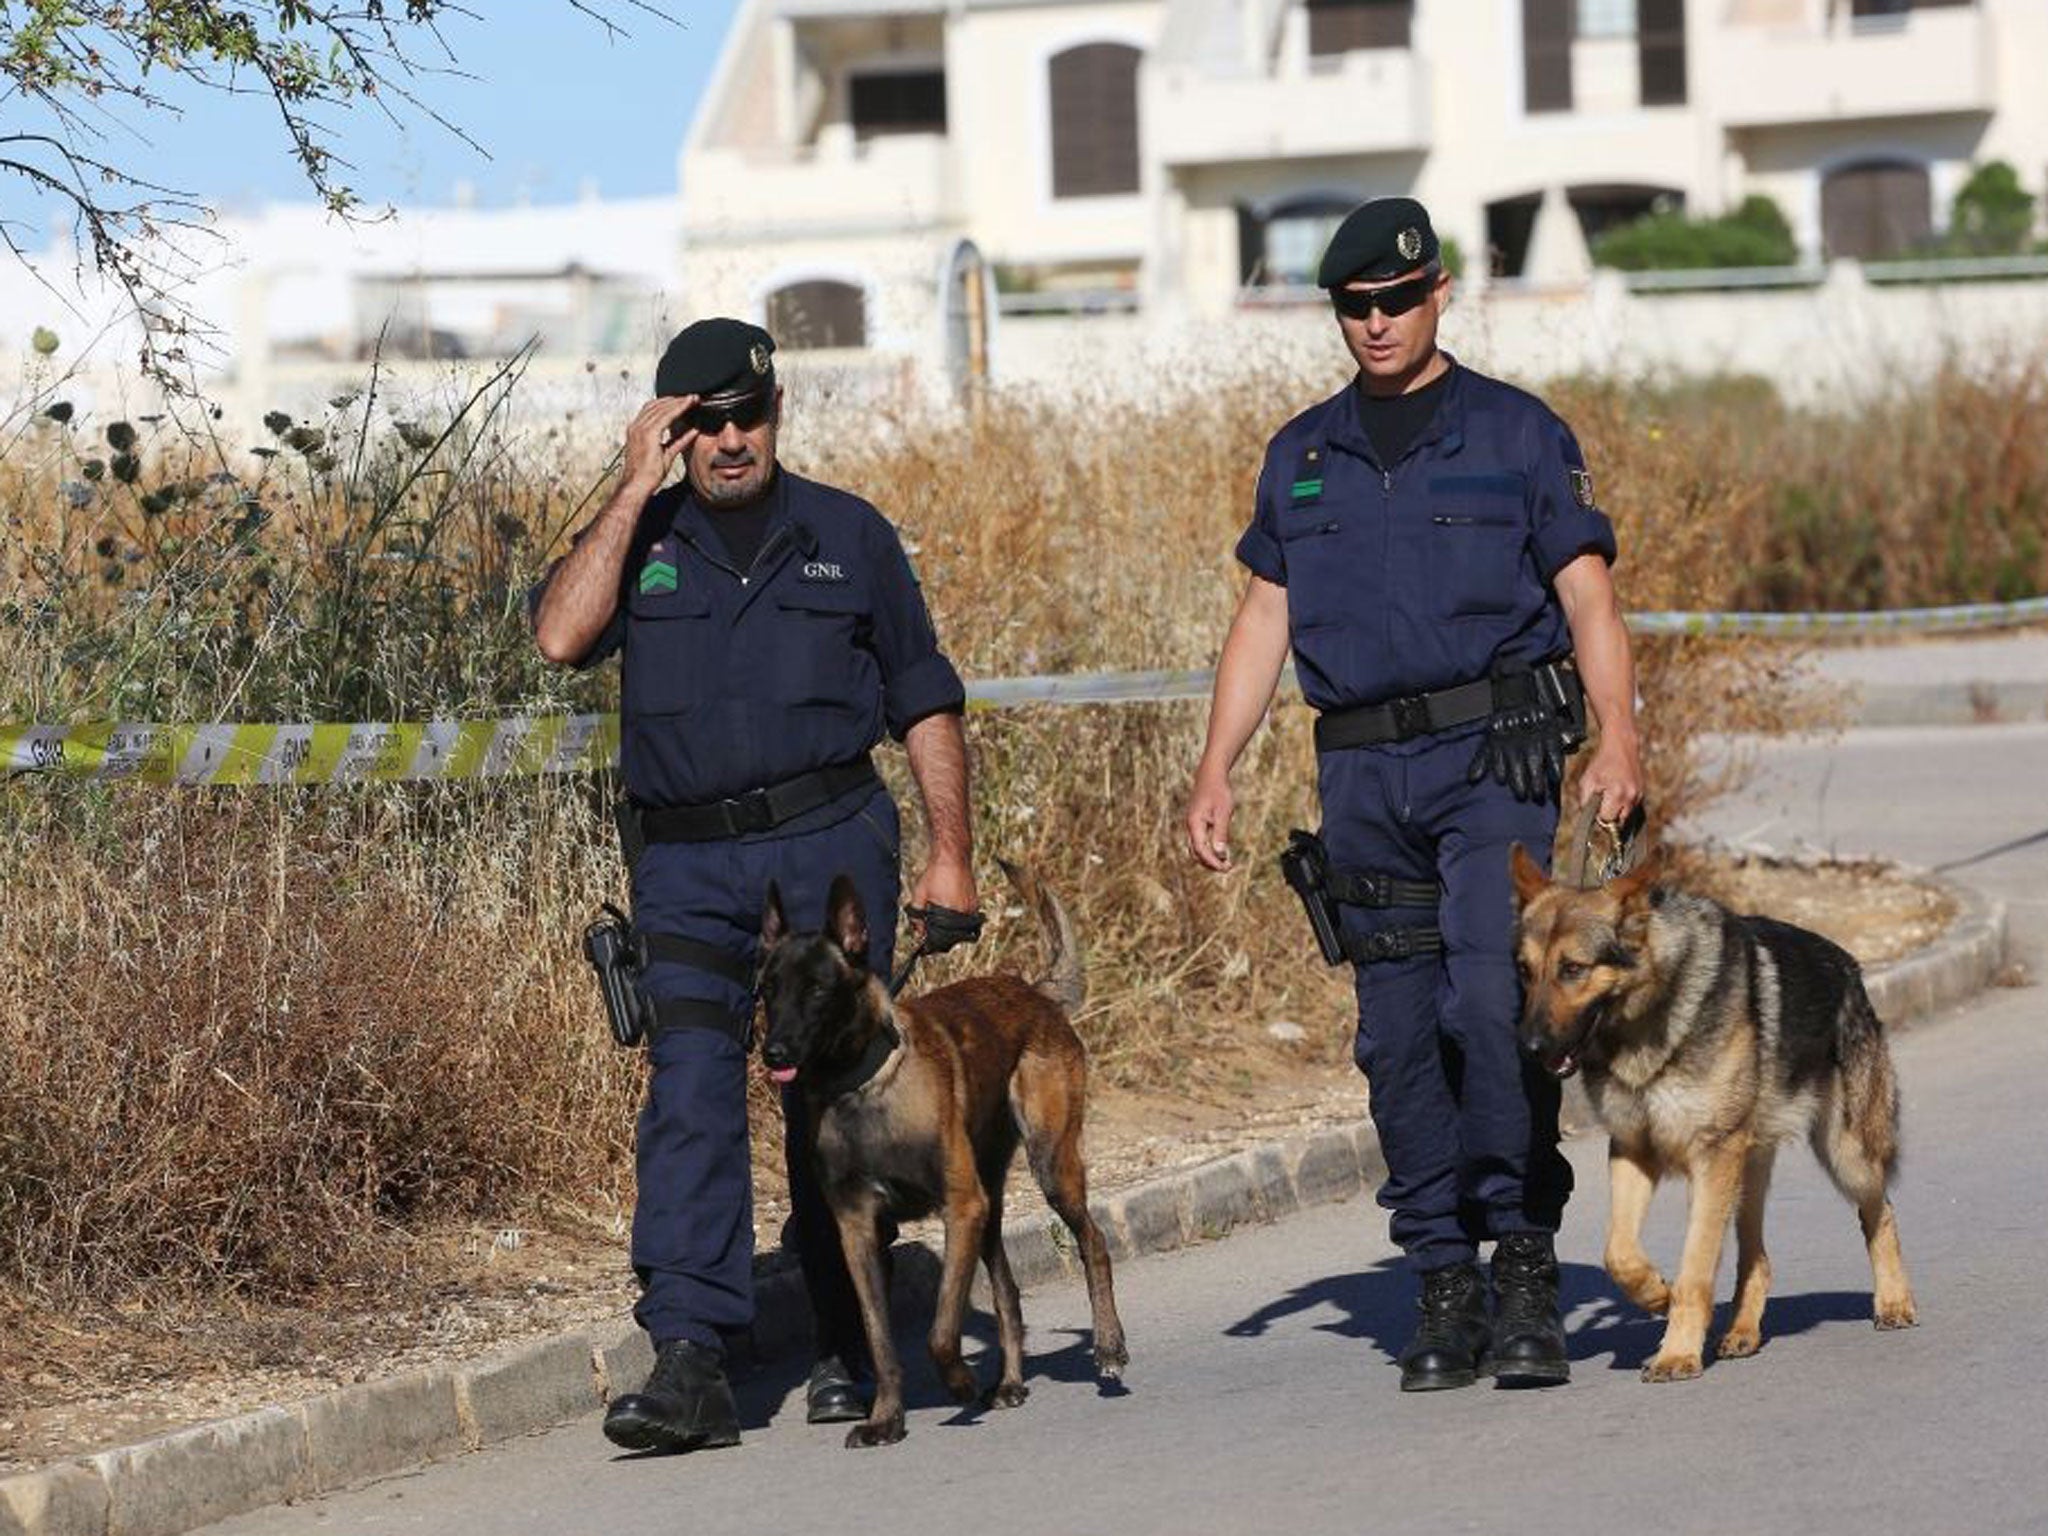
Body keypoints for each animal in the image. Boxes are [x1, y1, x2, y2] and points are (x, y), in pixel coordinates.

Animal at [761, 868, 1130, 1458]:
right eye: (769, 989)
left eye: (817, 989)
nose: (773, 1052)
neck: (861, 1087)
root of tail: (1035, 992)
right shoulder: (859, 1232)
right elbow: (880, 1338)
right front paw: (887, 1418)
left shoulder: (960, 1207)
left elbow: (940, 1330)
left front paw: (958, 1382)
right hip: (991, 1207)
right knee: (1007, 1291)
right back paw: (1010, 1382)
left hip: (1049, 1166)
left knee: (1093, 1241)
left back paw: (1109, 1348)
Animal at [1507, 847, 1916, 1392]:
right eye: (1526, 971)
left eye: (1573, 969)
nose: (1528, 1048)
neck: (1649, 1019)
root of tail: (1849, 967)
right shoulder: (1633, 1151)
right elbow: (1619, 1253)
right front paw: (1655, 1293)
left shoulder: (1710, 1158)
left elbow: (1696, 1270)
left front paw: (1677, 1352)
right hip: (1746, 1177)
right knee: (1757, 1259)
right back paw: (1742, 1331)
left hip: (1844, 1155)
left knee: (1880, 1212)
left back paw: (1893, 1301)